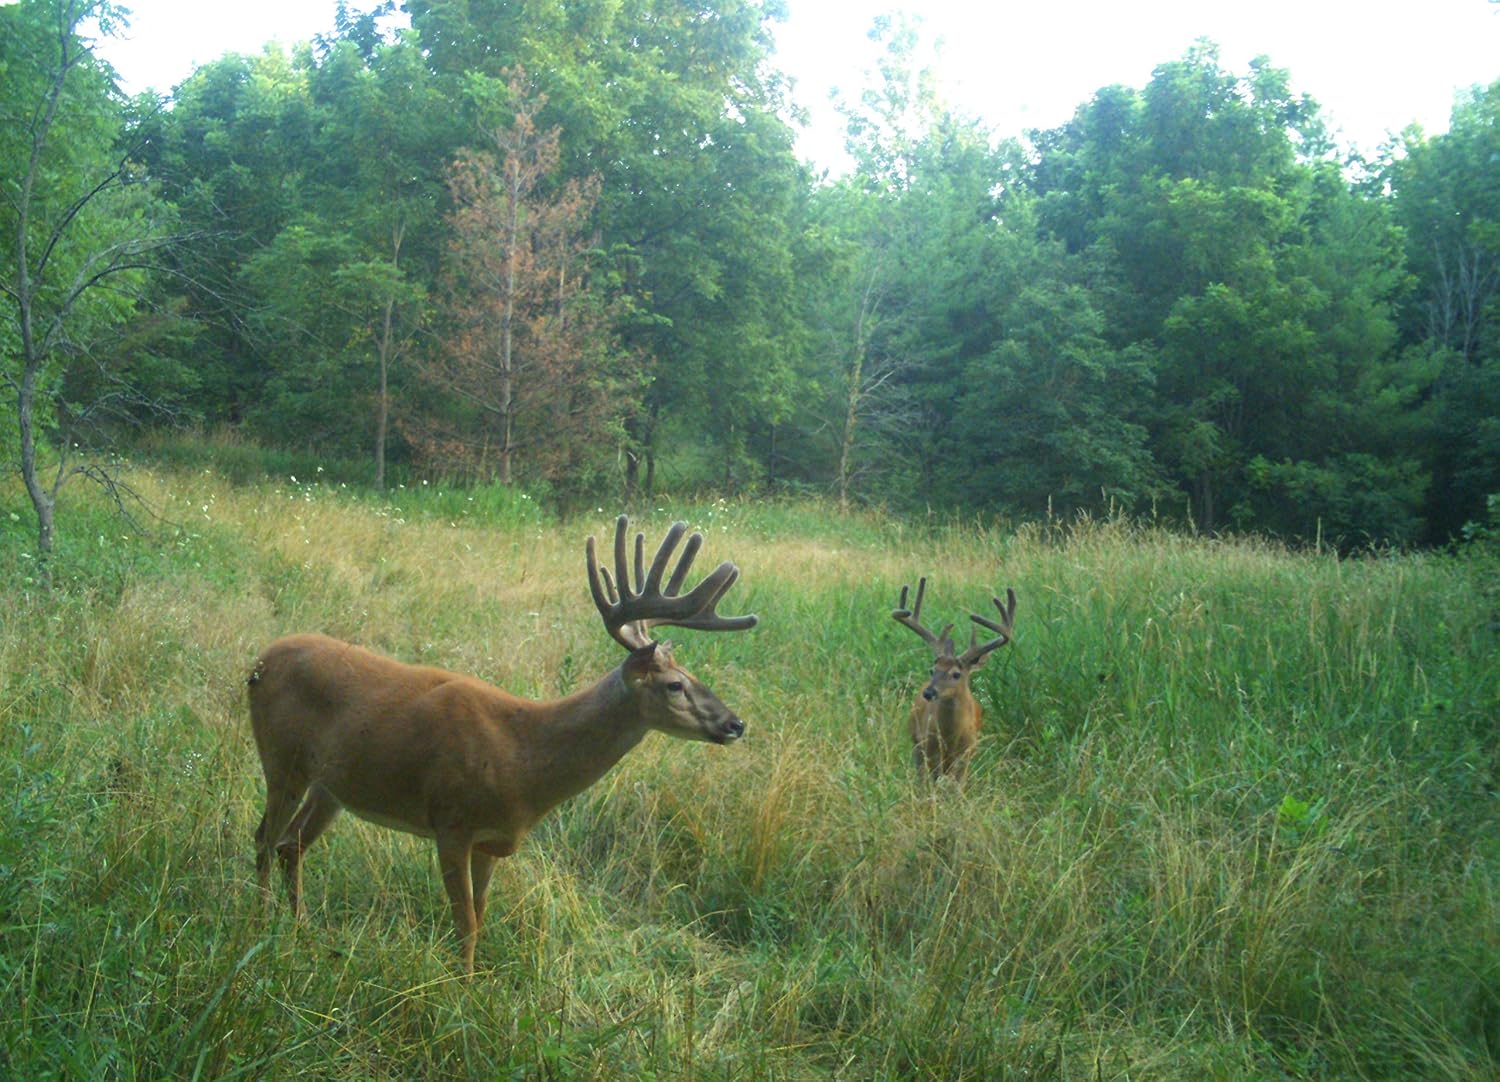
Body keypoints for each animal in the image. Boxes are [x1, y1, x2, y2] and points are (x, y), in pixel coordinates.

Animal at [246, 515, 757, 973]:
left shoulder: (491, 842)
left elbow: (481, 915)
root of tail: (258, 661)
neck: (523, 760)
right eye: (674, 684)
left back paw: (300, 927)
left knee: (290, 844)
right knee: (265, 837)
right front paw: (460, 993)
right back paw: (260, 922)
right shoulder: (450, 821)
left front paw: (469, 984)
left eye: (693, 675)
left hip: (333, 784)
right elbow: (465, 923)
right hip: (281, 759)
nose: (735, 724)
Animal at [893, 577, 1017, 784]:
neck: (950, 737)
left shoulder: (966, 753)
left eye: (956, 674)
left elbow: (958, 787)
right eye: (932, 670)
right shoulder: (931, 748)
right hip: (916, 741)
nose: (929, 692)